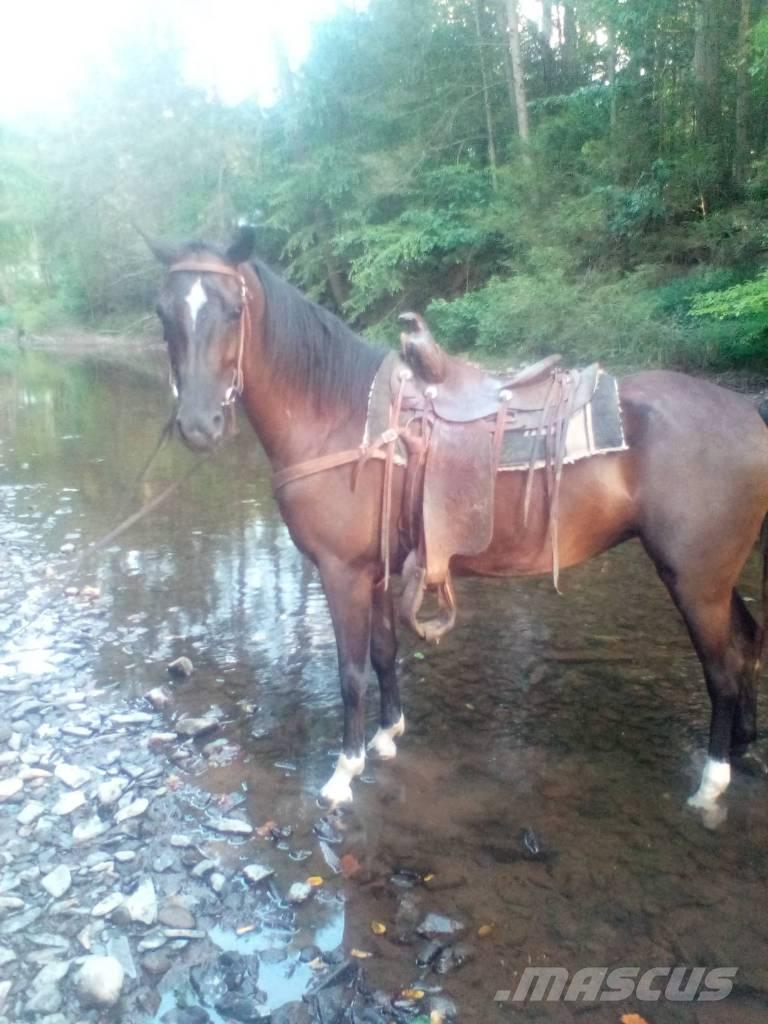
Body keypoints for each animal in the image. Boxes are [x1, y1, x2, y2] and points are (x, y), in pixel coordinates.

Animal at [145, 226, 768, 817]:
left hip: (694, 580)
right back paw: (743, 748)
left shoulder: (341, 572)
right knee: (746, 643)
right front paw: (387, 737)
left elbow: (350, 673)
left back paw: (711, 781)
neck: (342, 418)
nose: (198, 425)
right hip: (715, 579)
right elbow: (384, 653)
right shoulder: (377, 570)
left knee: (720, 666)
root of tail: (748, 409)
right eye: (164, 313)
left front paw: (342, 775)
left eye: (234, 309)